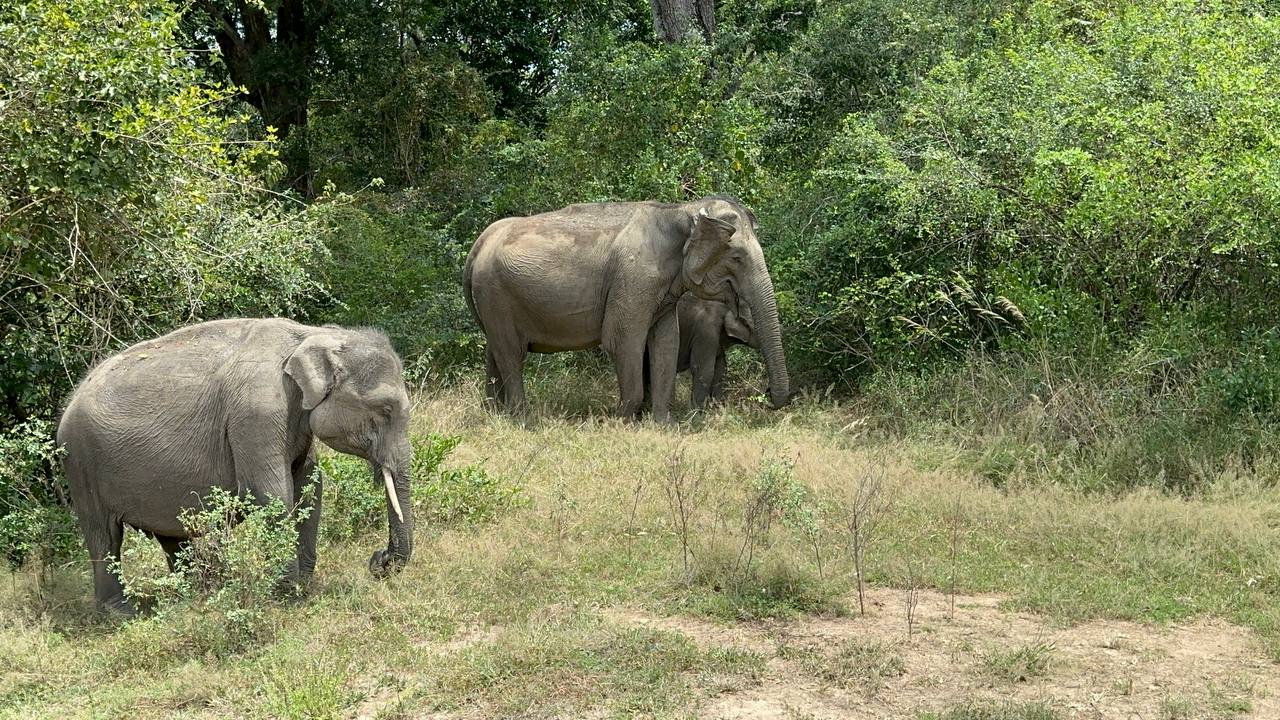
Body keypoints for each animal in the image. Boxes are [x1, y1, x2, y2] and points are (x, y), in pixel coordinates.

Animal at [58, 317, 414, 609]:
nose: (378, 559)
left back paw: (195, 593)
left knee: (171, 535)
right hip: (79, 462)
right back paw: (123, 612)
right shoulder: (256, 413)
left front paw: (302, 587)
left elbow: (309, 486)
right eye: (385, 410)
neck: (311, 335)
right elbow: (271, 493)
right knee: (104, 535)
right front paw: (287, 596)